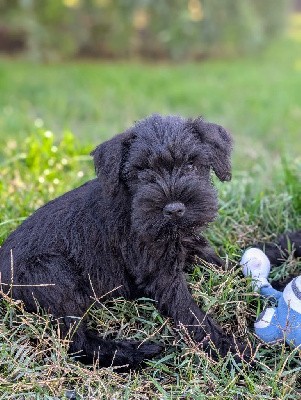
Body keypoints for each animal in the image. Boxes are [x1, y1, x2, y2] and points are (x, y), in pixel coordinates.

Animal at [0, 114, 258, 368]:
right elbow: (189, 311)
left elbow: (227, 268)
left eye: (191, 164)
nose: (174, 209)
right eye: (142, 172)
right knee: (76, 342)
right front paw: (231, 349)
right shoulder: (159, 272)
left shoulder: (191, 245)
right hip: (53, 273)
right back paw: (137, 353)